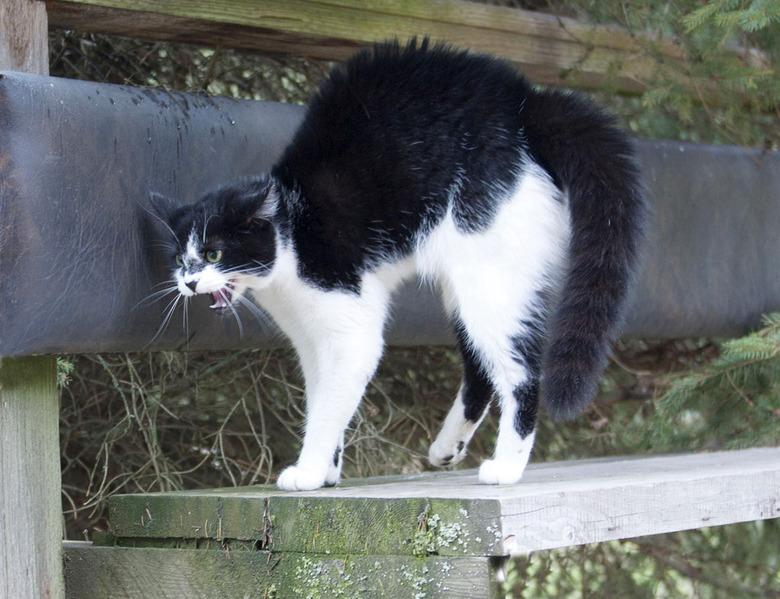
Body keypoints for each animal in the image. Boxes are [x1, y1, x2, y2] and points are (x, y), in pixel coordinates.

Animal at [151, 41, 644, 492]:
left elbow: (329, 405)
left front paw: (307, 471)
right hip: (466, 284)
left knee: (521, 372)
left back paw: (506, 467)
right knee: (479, 368)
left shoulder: (351, 329)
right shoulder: (311, 341)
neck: (292, 232)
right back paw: (448, 448)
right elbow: (323, 396)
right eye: (178, 259)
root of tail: (525, 103)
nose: (189, 281)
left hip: (487, 273)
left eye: (214, 253)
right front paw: (327, 469)